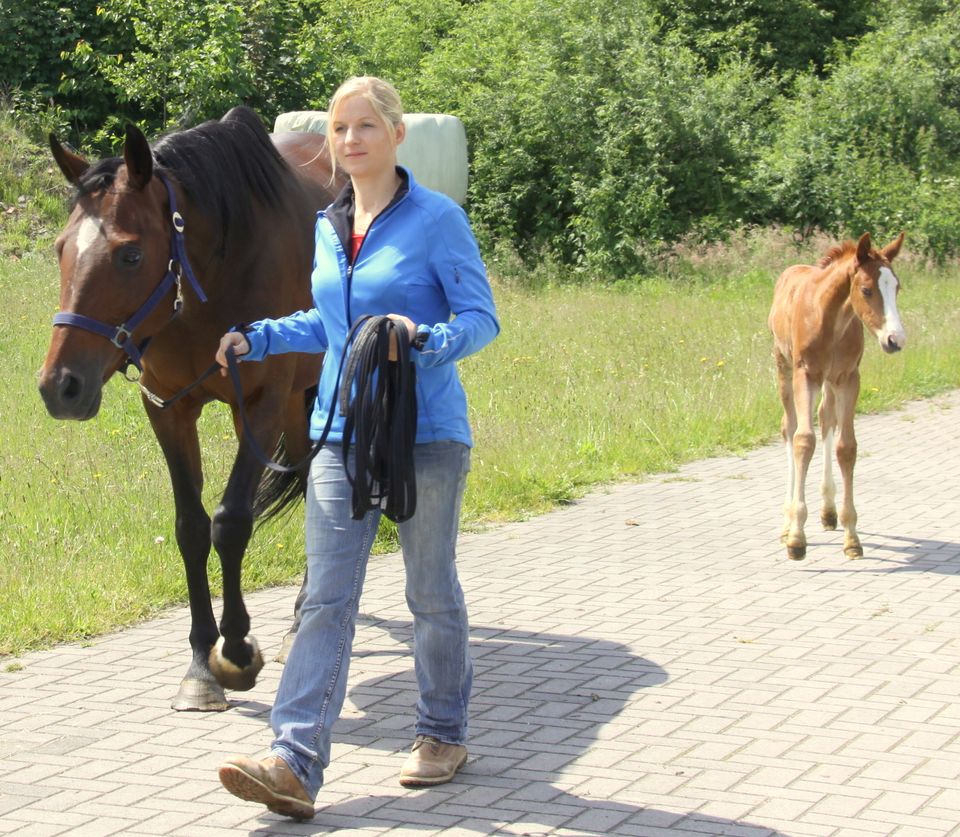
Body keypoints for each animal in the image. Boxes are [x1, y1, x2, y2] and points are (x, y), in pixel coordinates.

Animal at [42, 108, 348, 708]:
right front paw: (200, 666)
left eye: (130, 254)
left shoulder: (259, 405)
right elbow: (190, 527)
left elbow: (230, 523)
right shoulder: (167, 408)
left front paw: (236, 652)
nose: (60, 386)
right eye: (62, 249)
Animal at [768, 232, 904, 560]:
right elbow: (803, 441)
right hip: (783, 367)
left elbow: (847, 447)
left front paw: (851, 537)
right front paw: (797, 538)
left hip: (829, 382)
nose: (895, 340)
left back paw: (828, 512)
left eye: (896, 287)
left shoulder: (848, 378)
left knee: (827, 419)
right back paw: (786, 522)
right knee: (789, 428)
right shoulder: (805, 375)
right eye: (866, 290)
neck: (830, 318)